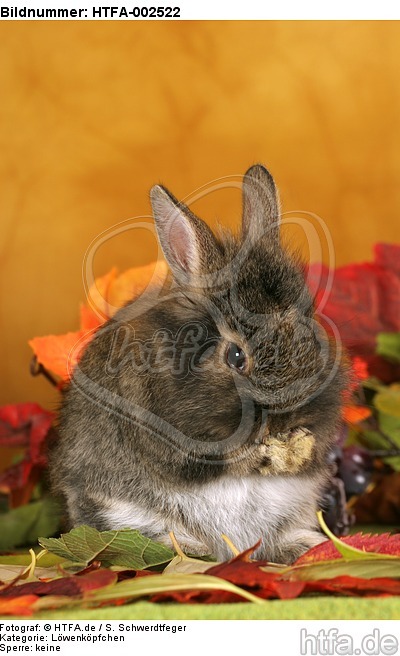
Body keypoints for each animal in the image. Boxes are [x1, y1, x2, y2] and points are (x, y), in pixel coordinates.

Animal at [50, 164, 347, 564]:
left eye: (310, 330)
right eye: (236, 357)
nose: (287, 418)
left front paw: (298, 450)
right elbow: (212, 463)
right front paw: (263, 456)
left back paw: (307, 546)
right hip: (123, 513)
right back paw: (191, 552)